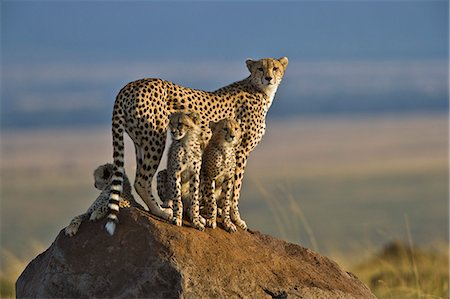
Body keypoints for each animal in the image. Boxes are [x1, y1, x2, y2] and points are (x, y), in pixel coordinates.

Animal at [106, 56, 288, 237]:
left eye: (275, 68)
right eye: (260, 68)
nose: (268, 78)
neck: (260, 91)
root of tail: (130, 85)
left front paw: (220, 213)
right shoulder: (241, 151)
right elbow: (236, 188)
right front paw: (235, 218)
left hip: (140, 142)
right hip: (155, 138)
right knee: (141, 181)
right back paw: (162, 212)